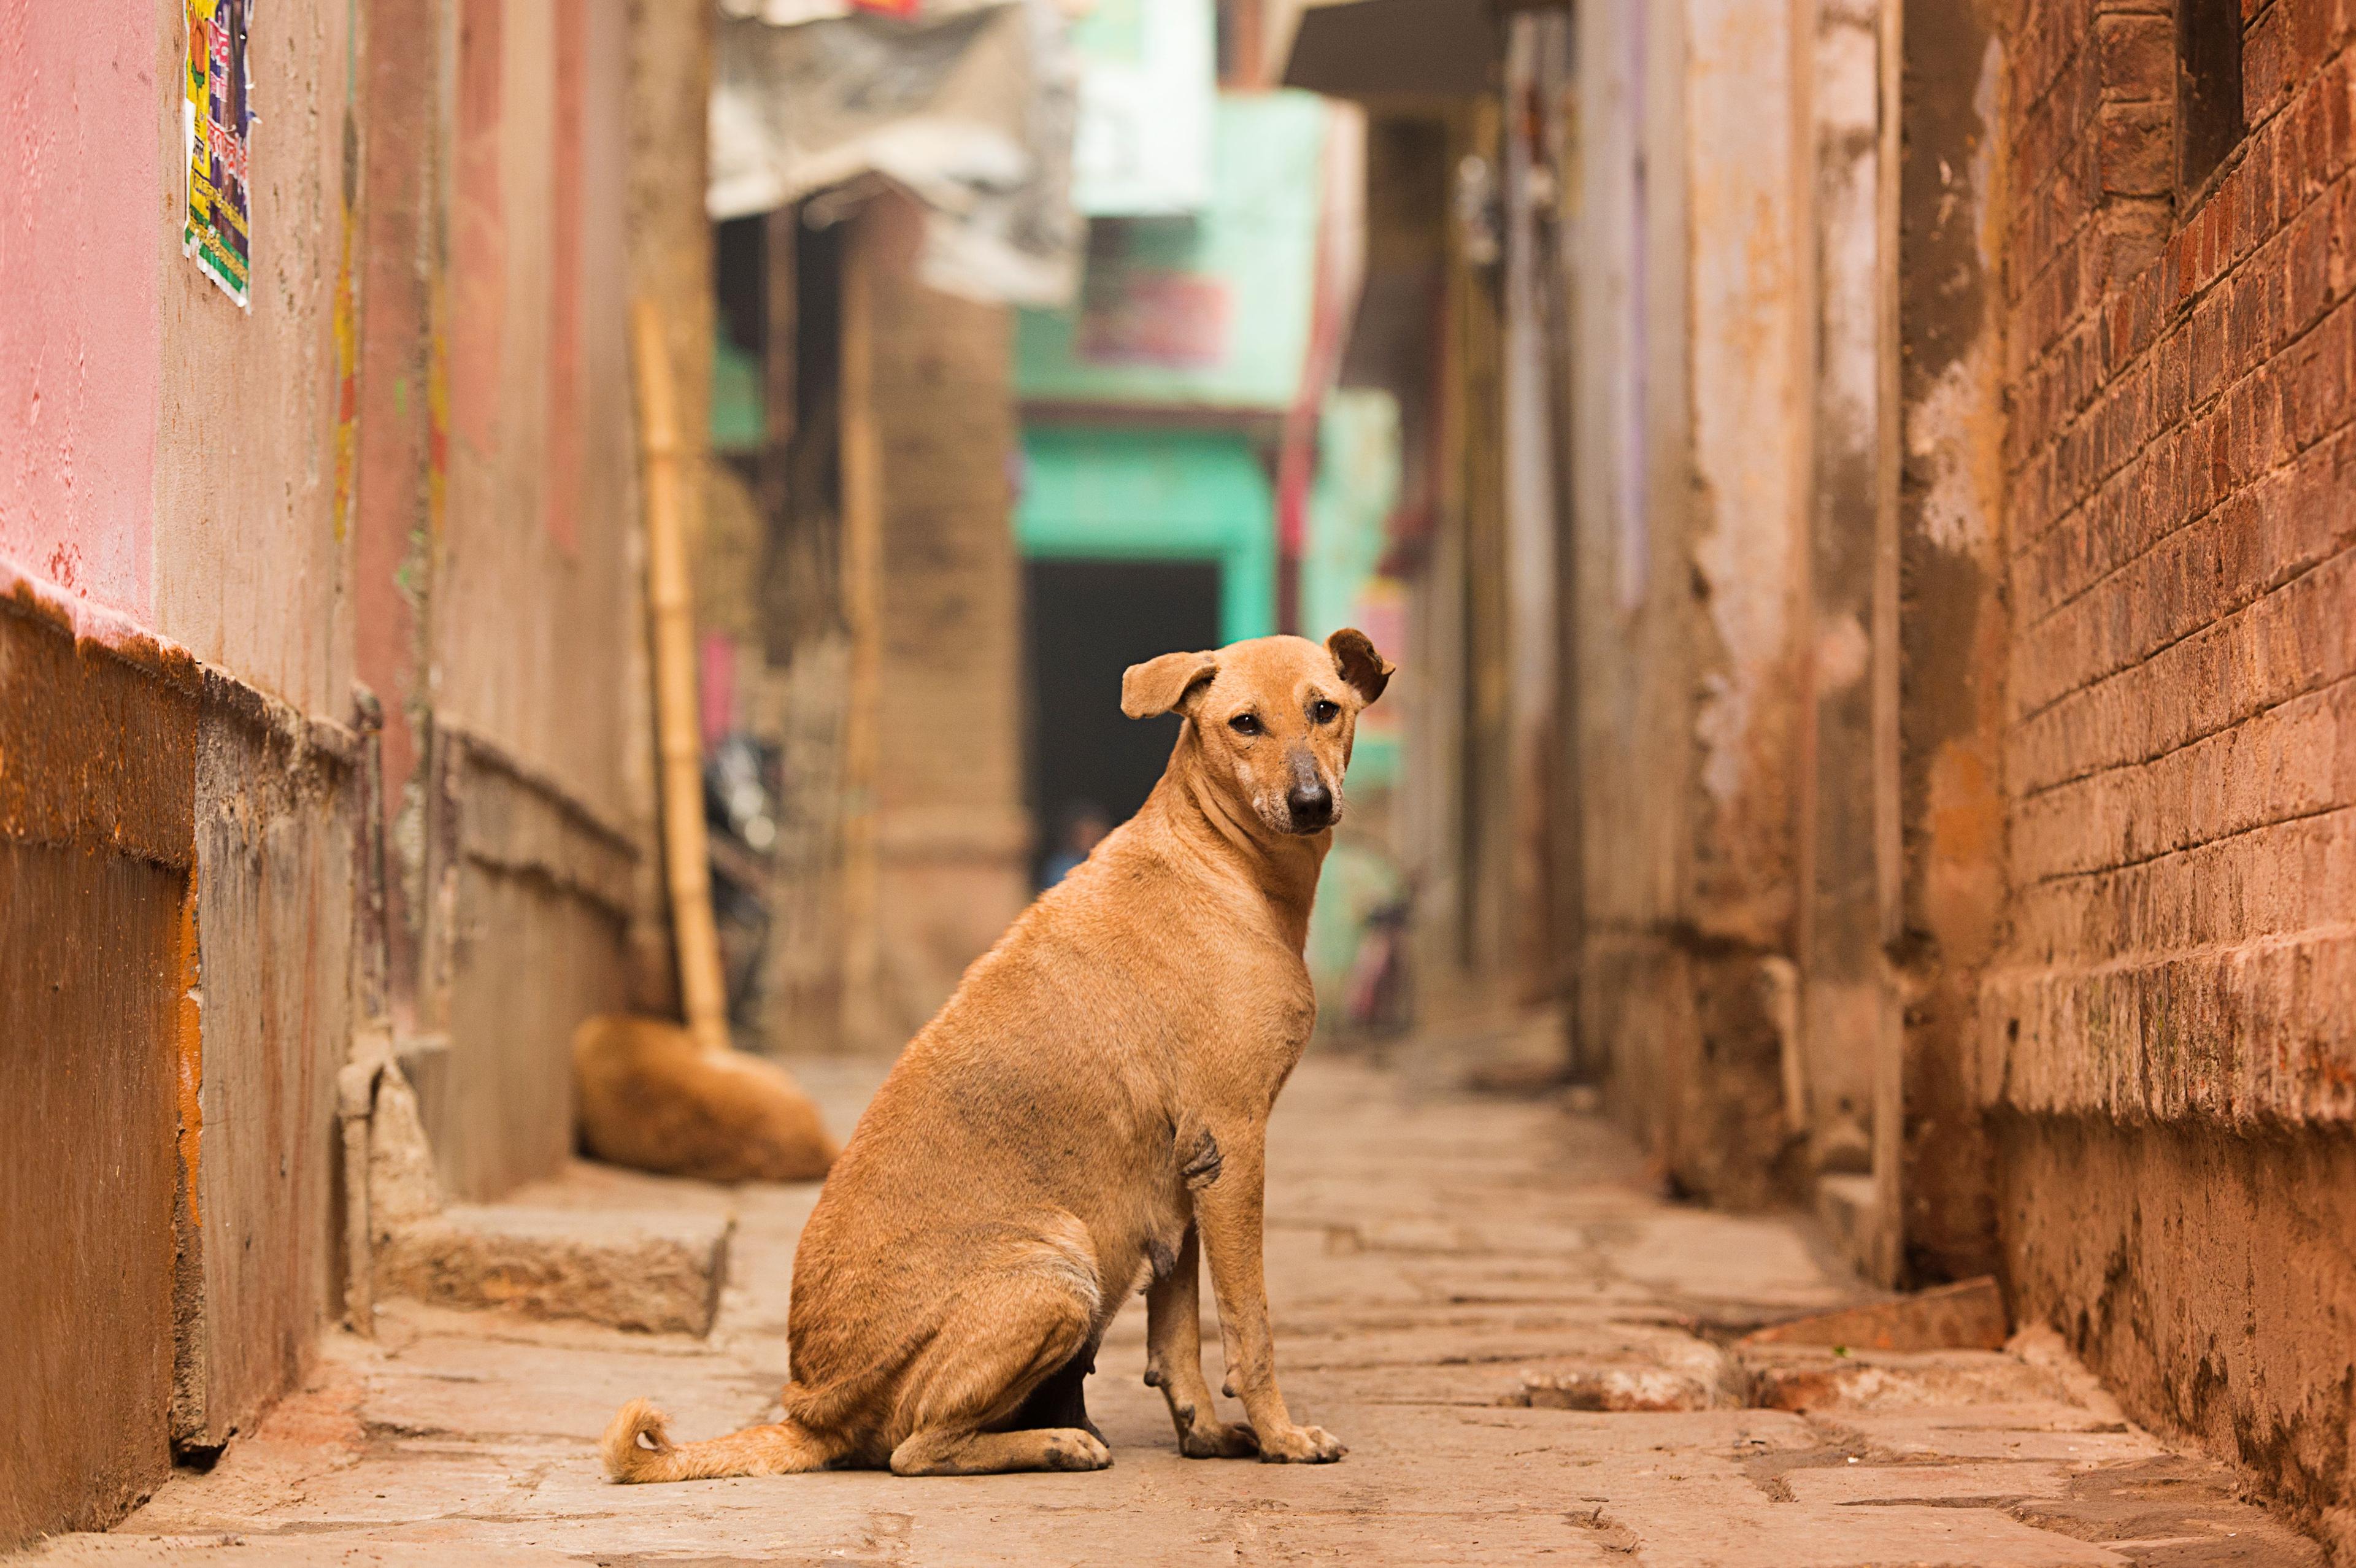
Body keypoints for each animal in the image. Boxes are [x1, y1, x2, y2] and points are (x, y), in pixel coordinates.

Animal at [598, 626, 1385, 1478]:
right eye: (1244, 723)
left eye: (1325, 710)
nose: (1311, 804)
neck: (1218, 860)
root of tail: (810, 1415)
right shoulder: (1234, 1147)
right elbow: (1251, 1326)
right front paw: (1283, 1438)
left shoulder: (1184, 1181)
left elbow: (1178, 1340)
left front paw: (1206, 1436)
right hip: (1059, 1270)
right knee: (918, 1446)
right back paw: (1057, 1443)